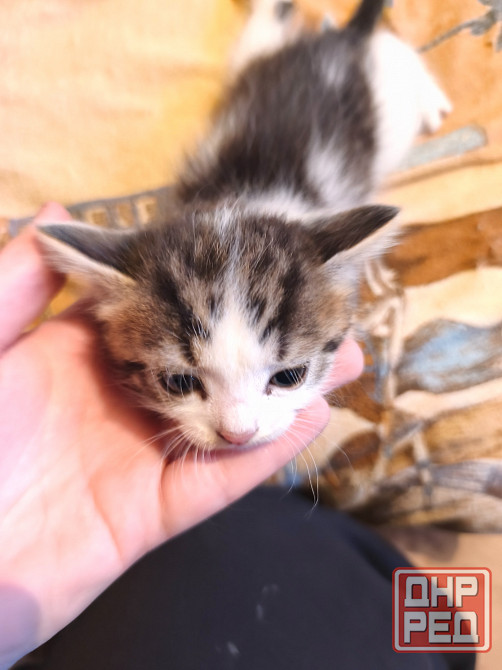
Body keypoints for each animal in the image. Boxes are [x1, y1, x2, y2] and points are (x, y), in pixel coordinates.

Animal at [37, 0, 451, 454]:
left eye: (289, 377)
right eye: (178, 382)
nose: (238, 435)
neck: (239, 200)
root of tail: (343, 43)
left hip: (392, 112)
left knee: (398, 54)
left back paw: (429, 99)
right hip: (253, 53)